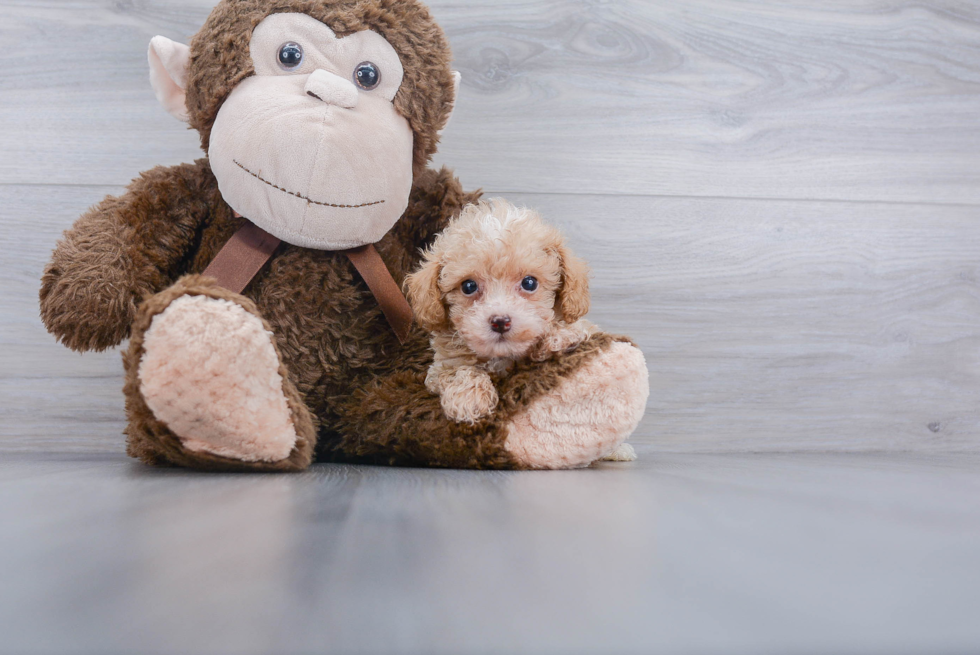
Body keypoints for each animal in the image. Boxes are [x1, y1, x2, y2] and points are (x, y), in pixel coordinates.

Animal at [404, 200, 596, 426]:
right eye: (468, 286)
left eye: (529, 283)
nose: (500, 322)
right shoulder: (441, 367)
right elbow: (459, 369)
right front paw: (468, 397)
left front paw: (561, 335)